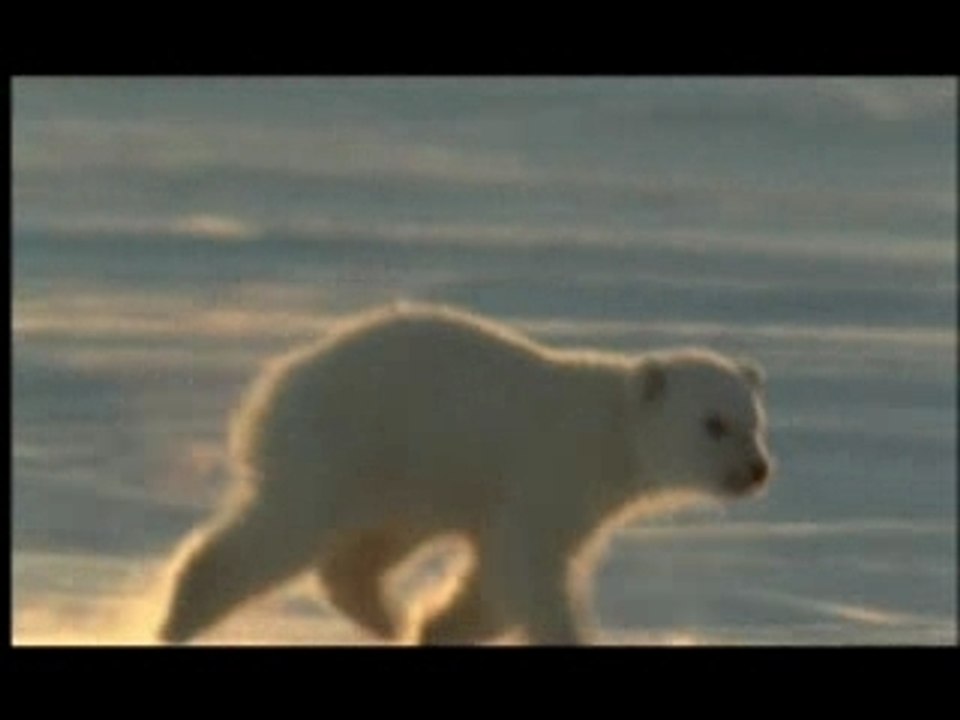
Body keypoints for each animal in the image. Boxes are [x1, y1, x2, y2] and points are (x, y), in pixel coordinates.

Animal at [157, 301, 773, 645]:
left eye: (755, 422)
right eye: (714, 423)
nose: (756, 471)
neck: (609, 428)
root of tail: (276, 383)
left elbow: (492, 580)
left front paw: (437, 628)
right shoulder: (549, 474)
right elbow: (525, 567)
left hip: (406, 476)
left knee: (364, 548)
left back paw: (384, 618)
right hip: (343, 447)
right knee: (284, 532)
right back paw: (181, 616)